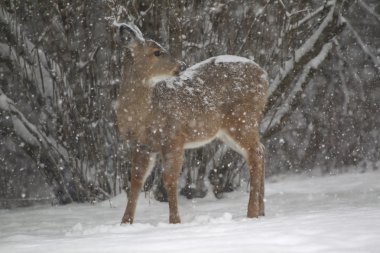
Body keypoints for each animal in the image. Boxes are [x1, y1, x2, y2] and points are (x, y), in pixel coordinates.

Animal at [114, 21, 268, 223]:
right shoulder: (141, 145)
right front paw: (125, 222)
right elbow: (136, 181)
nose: (182, 65)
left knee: (255, 154)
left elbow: (169, 180)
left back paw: (251, 213)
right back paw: (262, 211)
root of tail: (265, 76)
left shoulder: (174, 138)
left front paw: (175, 221)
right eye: (157, 52)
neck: (145, 114)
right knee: (260, 150)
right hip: (228, 130)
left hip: (242, 119)